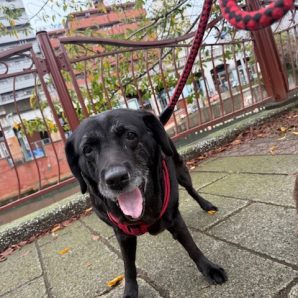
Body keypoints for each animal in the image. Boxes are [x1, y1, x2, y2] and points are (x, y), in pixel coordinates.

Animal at [65, 109, 227, 298]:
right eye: (87, 149)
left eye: (130, 135)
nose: (116, 179)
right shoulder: (123, 235)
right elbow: (129, 267)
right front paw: (130, 291)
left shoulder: (174, 219)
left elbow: (191, 246)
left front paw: (209, 268)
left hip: (181, 170)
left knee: (191, 189)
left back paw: (206, 205)